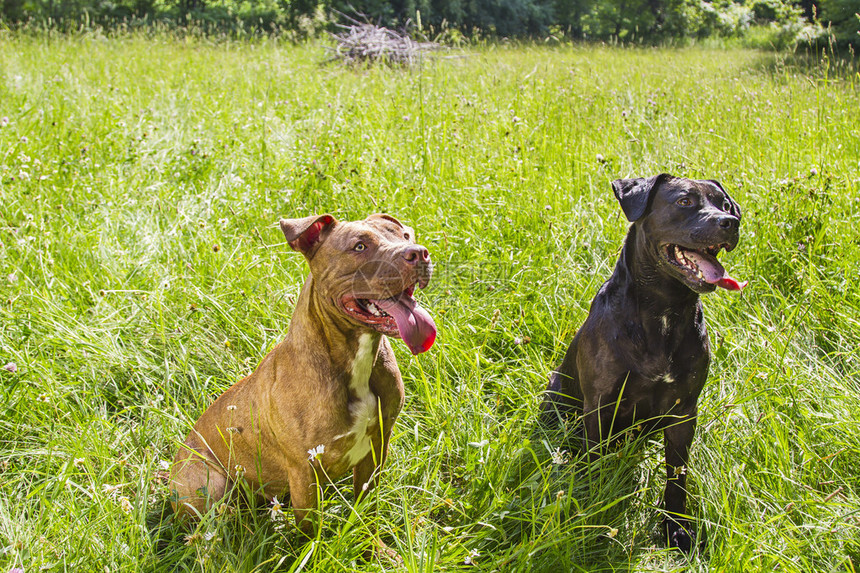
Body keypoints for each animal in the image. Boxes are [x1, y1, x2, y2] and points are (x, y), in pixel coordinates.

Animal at [169, 212, 436, 540]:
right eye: (359, 246)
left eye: (406, 235)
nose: (419, 253)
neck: (354, 358)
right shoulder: (304, 469)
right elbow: (310, 529)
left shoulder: (376, 445)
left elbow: (366, 507)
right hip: (208, 481)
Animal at [544, 173, 744, 548]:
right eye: (684, 201)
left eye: (725, 204)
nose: (730, 222)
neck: (664, 310)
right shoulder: (601, 405)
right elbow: (596, 460)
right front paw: (596, 510)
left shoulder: (683, 411)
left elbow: (677, 477)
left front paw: (675, 528)